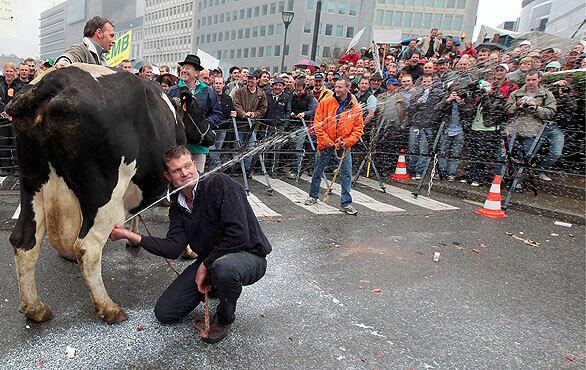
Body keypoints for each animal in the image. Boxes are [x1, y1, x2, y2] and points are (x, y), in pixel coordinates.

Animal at [5, 63, 206, 324]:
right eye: (201, 111)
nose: (212, 136)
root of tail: (50, 82)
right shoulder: (172, 181)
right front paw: (188, 250)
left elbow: (139, 210)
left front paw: (134, 239)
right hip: (102, 194)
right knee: (87, 248)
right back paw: (109, 308)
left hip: (32, 185)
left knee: (24, 240)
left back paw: (36, 309)